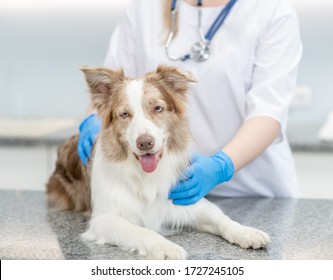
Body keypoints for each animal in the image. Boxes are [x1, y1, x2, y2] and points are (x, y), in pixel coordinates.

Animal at [46, 64, 270, 260]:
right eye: (124, 114)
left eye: (158, 108)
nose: (145, 143)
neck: (145, 177)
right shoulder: (105, 219)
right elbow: (143, 231)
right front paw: (166, 247)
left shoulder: (189, 202)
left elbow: (222, 218)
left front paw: (246, 232)